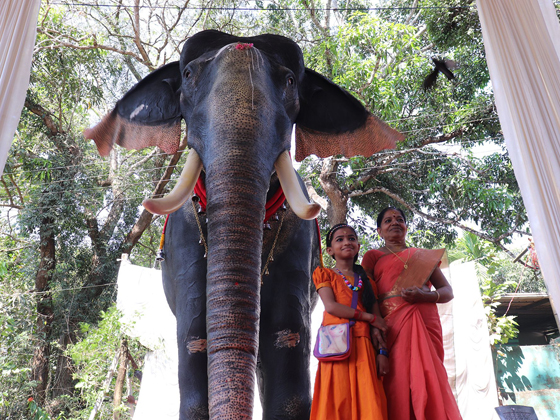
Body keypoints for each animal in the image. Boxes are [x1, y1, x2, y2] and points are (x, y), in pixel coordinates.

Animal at [84, 30, 402, 420]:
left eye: (290, 81)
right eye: (187, 75)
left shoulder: (298, 247)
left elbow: (286, 341)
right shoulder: (184, 242)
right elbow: (195, 340)